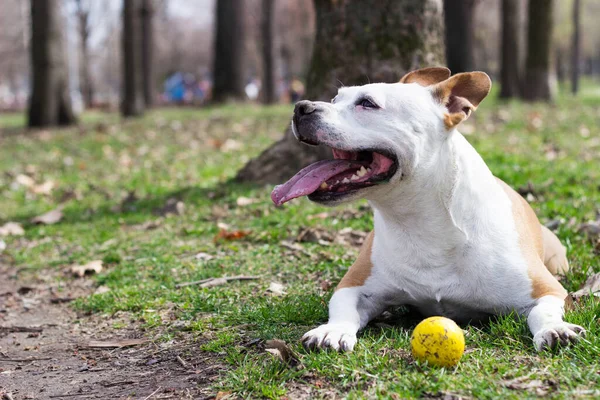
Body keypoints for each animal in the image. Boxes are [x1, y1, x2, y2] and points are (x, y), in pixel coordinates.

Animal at [272, 67, 584, 352]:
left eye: (368, 103)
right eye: (336, 99)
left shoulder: (547, 290)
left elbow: (542, 311)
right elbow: (341, 308)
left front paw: (555, 329)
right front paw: (332, 331)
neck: (418, 220)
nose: (301, 107)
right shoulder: (354, 286)